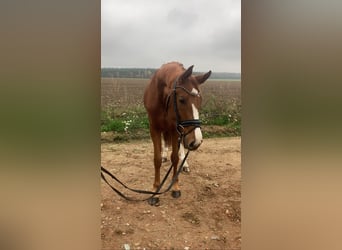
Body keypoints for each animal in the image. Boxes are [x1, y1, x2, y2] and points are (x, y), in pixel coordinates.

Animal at [142, 62, 211, 199]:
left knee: (181, 148)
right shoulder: (154, 129)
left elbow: (175, 158)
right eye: (181, 100)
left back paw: (185, 164)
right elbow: (157, 159)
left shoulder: (175, 129)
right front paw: (155, 190)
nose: (197, 141)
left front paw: (175, 187)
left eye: (200, 100)